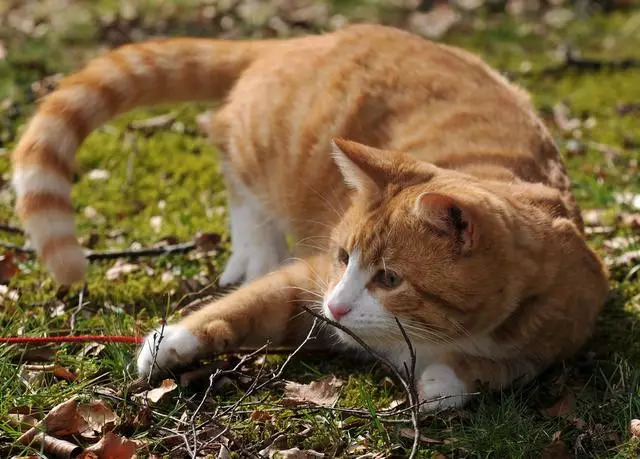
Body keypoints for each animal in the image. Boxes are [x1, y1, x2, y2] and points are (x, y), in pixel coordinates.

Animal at [12, 24, 608, 410]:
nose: (338, 308)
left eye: (390, 278)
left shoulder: (557, 334)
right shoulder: (311, 276)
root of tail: (301, 39)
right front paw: (173, 341)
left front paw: (444, 382)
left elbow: (493, 372)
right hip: (264, 148)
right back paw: (254, 249)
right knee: (228, 154)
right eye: (345, 257)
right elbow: (246, 306)